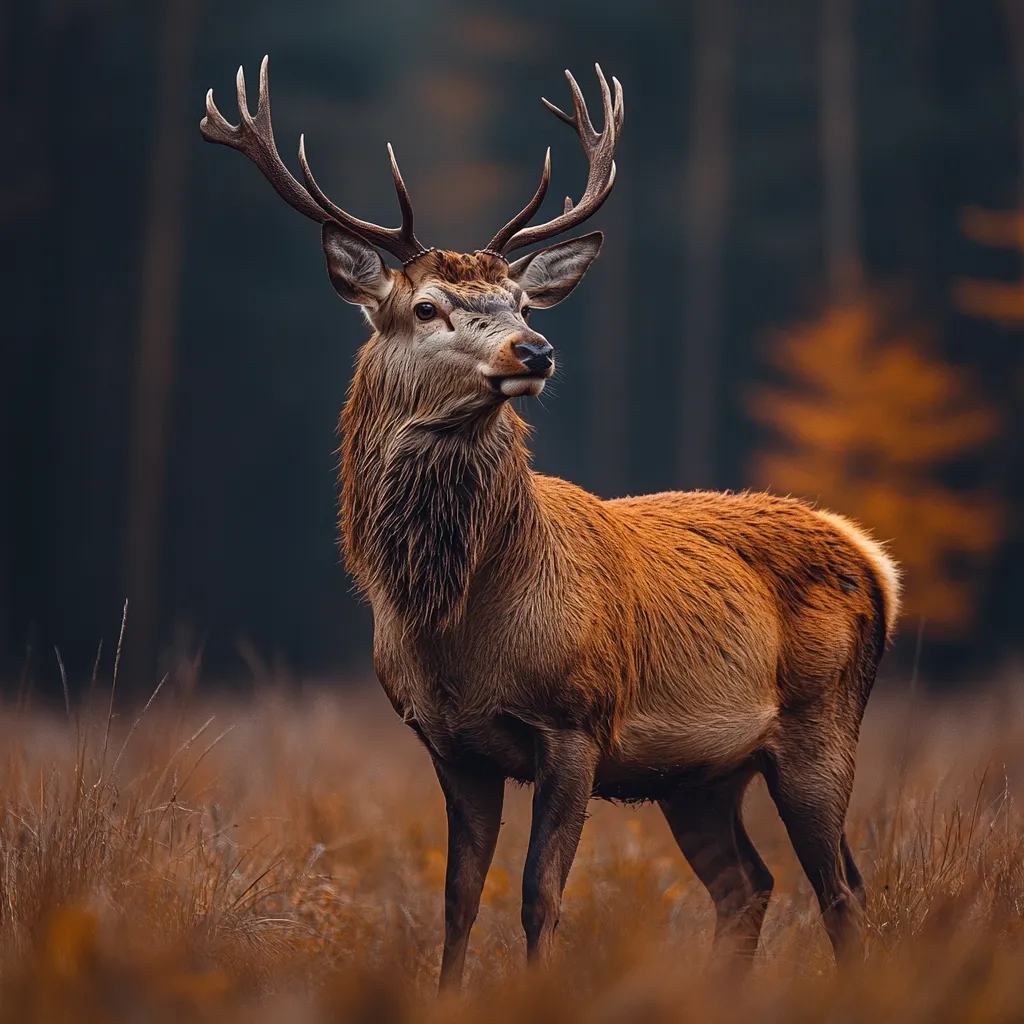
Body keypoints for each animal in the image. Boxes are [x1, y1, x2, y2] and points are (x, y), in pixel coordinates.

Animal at [201, 58, 901, 990]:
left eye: (523, 304)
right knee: (749, 885)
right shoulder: (449, 744)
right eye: (426, 307)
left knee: (842, 890)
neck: (461, 624)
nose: (535, 351)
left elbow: (539, 895)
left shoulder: (577, 723)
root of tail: (872, 558)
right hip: (699, 774)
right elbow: (459, 897)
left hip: (822, 725)